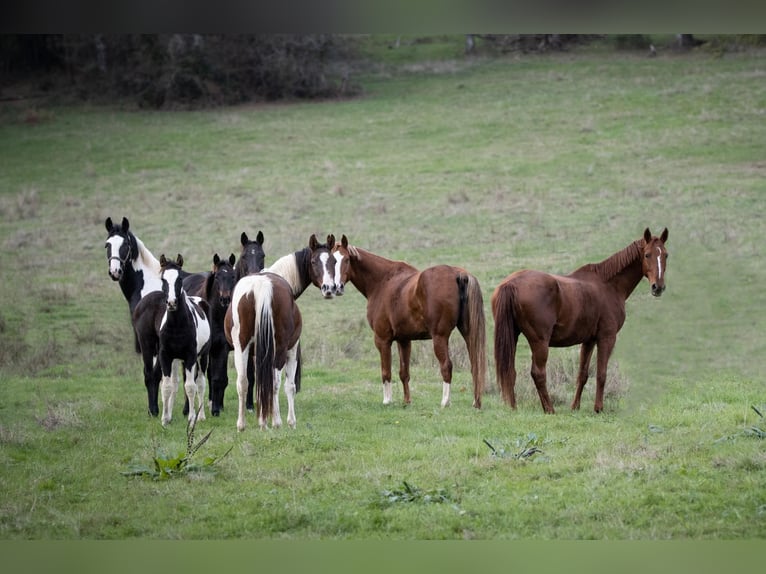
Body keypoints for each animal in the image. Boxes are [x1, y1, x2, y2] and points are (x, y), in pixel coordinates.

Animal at [224, 274, 302, 432]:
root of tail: (262, 284)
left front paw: (262, 421)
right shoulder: (292, 351)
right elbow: (290, 386)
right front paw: (291, 422)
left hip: (241, 348)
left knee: (242, 382)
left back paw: (242, 424)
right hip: (280, 349)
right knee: (275, 383)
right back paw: (276, 422)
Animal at [334, 236, 488, 412]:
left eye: (346, 259)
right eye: (330, 259)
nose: (336, 287)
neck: (382, 281)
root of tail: (458, 273)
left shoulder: (382, 340)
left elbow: (386, 372)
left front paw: (387, 400)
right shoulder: (404, 340)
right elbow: (404, 372)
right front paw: (407, 401)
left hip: (440, 337)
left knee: (446, 366)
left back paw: (445, 402)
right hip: (468, 334)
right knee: (475, 364)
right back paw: (476, 402)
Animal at [496, 228, 668, 414]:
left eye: (666, 255)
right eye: (647, 255)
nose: (658, 287)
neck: (608, 285)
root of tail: (511, 283)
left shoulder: (589, 340)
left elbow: (583, 374)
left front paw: (575, 406)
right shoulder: (606, 338)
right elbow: (601, 374)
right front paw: (598, 408)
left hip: (513, 337)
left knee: (510, 371)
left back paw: (514, 407)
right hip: (539, 342)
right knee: (538, 373)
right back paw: (549, 409)